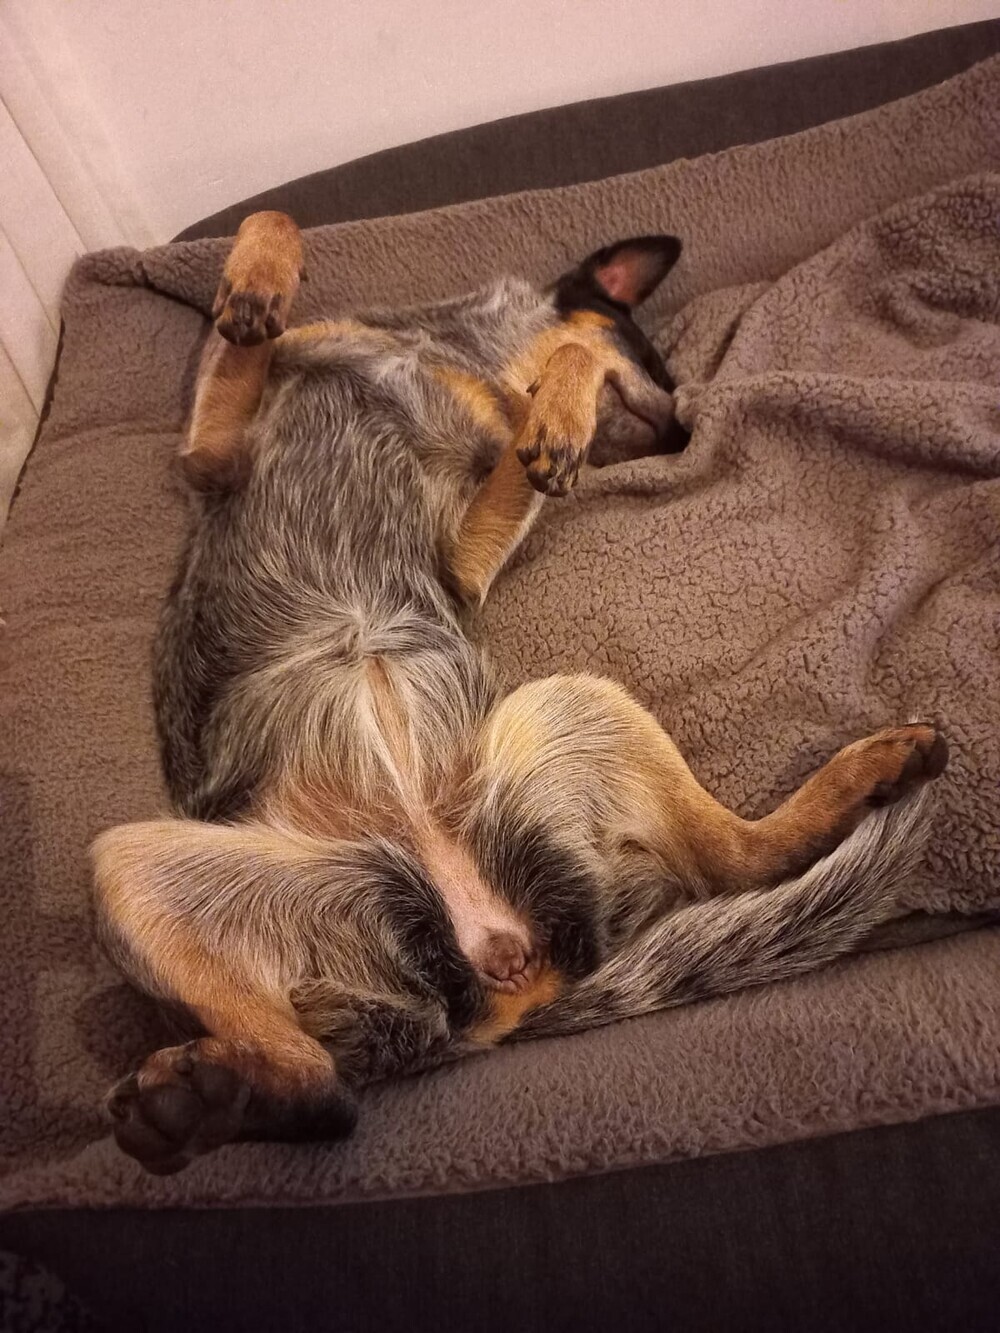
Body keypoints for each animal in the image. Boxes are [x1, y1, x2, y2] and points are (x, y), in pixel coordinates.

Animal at [92, 211, 948, 1174]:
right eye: (656, 363)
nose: (683, 432)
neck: (445, 353)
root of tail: (496, 973)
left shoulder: (455, 554)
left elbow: (555, 382)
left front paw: (558, 417)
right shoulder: (213, 454)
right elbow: (269, 244)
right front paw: (256, 285)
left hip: (576, 703)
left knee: (742, 858)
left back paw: (874, 767)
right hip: (127, 870)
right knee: (321, 1091)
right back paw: (199, 1103)